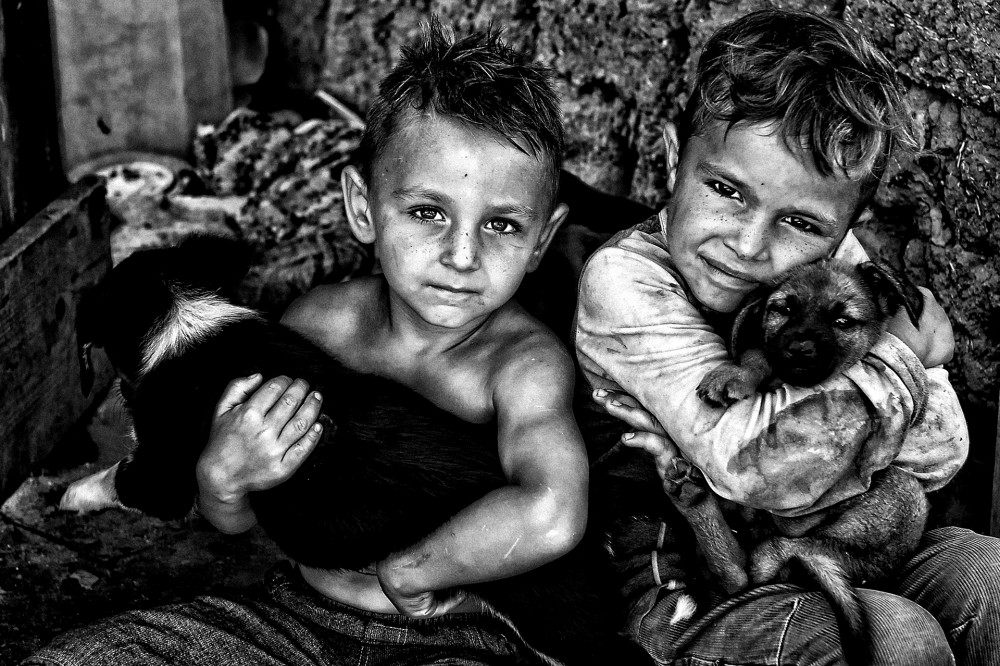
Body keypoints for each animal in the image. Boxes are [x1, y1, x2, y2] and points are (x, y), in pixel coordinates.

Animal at [63, 236, 652, 666]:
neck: (181, 318)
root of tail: (597, 514)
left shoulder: (163, 466)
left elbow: (122, 477)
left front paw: (72, 493)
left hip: (558, 615)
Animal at [667, 259, 930, 666]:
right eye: (784, 309)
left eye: (842, 321)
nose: (799, 348)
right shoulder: (771, 353)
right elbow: (758, 354)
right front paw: (735, 374)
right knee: (743, 571)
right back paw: (694, 500)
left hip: (900, 497)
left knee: (756, 569)